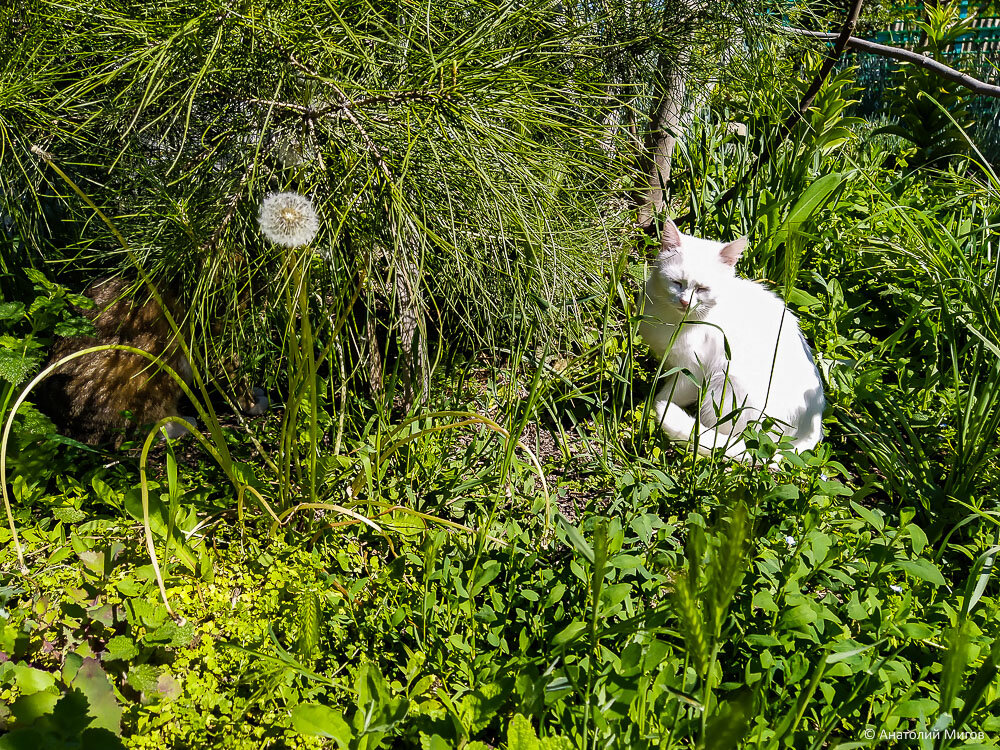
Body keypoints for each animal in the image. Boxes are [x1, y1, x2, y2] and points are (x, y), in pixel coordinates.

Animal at [644, 220, 824, 462]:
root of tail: (812, 428)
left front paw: (650, 408)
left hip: (725, 385)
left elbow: (664, 397)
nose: (684, 302)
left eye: (702, 289)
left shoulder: (692, 372)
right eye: (677, 283)